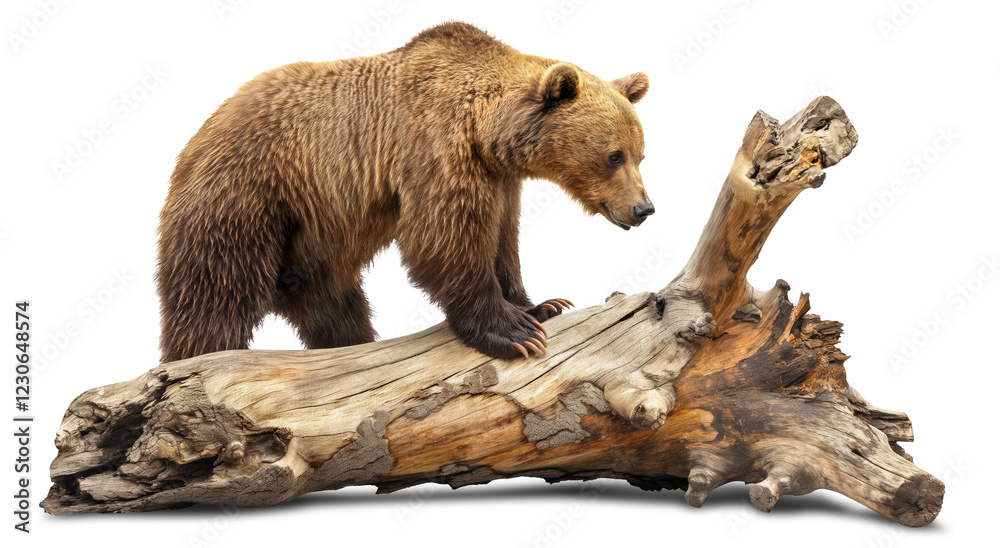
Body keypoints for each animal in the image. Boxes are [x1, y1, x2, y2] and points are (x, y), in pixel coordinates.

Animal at [156, 21, 653, 363]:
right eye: (614, 155)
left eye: (641, 154)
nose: (644, 208)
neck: (487, 133)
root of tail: (195, 139)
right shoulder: (435, 150)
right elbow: (445, 239)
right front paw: (514, 331)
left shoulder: (500, 181)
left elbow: (502, 240)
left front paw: (543, 305)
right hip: (247, 194)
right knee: (215, 293)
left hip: (314, 242)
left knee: (333, 307)